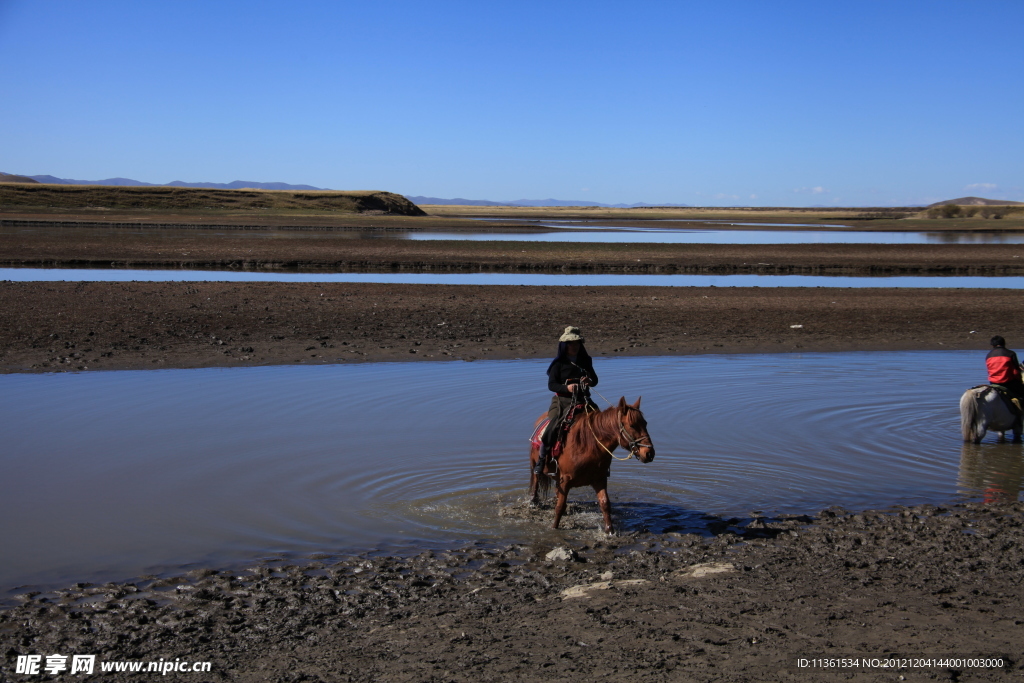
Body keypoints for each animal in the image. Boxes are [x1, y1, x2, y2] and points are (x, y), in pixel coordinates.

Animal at [532, 395, 651, 532]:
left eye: (645, 423)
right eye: (632, 425)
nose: (649, 453)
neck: (588, 445)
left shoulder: (599, 479)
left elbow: (605, 504)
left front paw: (610, 531)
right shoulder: (566, 480)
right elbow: (559, 507)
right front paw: (554, 528)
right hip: (534, 466)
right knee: (535, 485)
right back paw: (533, 503)